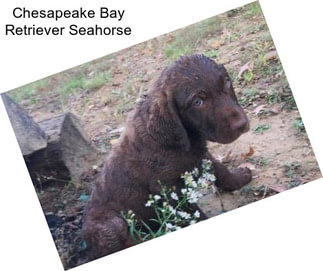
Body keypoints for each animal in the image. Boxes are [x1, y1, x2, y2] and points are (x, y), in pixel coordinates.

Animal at [81, 54, 253, 260]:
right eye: (198, 102)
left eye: (227, 82)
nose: (241, 124)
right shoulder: (168, 188)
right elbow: (191, 212)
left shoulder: (200, 155)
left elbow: (220, 170)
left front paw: (239, 178)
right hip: (111, 224)